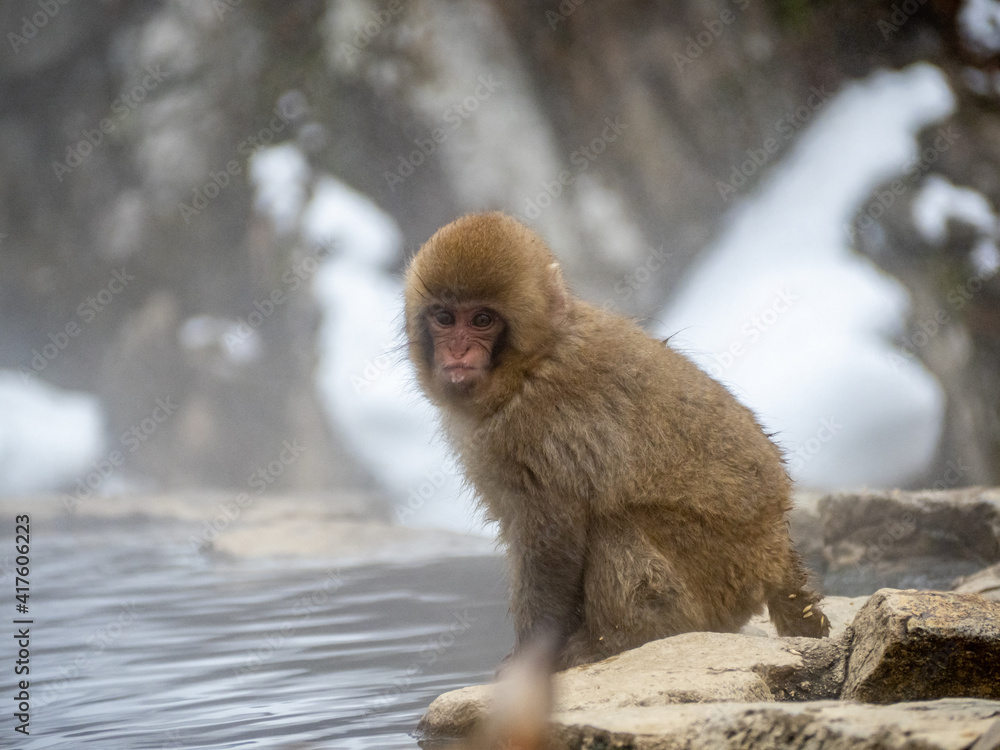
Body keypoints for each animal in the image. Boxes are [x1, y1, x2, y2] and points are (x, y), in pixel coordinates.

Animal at [404, 212, 829, 671]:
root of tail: (776, 547)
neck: (530, 365)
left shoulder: (540, 429)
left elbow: (552, 540)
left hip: (723, 572)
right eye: (445, 318)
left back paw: (622, 641)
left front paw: (529, 660)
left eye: (482, 320)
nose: (458, 352)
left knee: (615, 525)